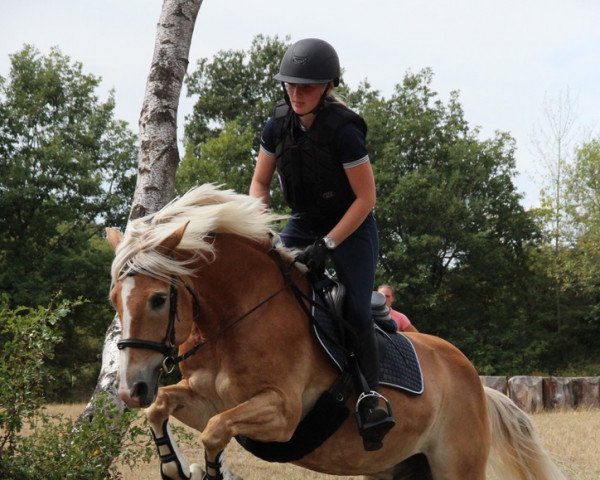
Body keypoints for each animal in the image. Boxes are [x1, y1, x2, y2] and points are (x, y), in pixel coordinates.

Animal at [109, 185, 568, 480]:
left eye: (157, 300)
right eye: (115, 297)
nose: (131, 388)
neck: (232, 321)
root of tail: (476, 383)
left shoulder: (283, 414)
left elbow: (215, 429)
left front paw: (208, 471)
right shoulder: (205, 399)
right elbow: (162, 408)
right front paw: (174, 467)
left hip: (458, 467)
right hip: (396, 468)